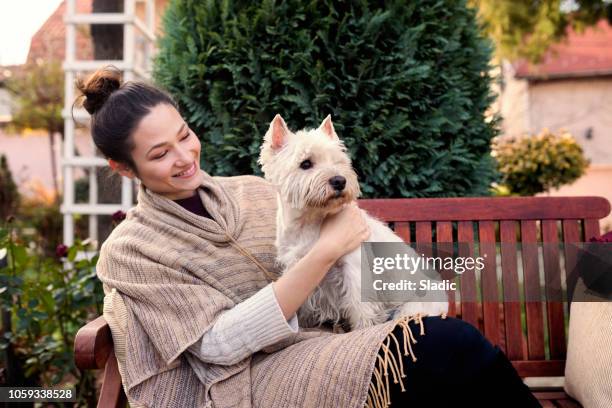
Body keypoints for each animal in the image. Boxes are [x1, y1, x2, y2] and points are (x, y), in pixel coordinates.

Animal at [258, 113, 450, 330]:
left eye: (338, 161)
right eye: (305, 163)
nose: (339, 181)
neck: (309, 222)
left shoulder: (354, 267)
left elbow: (360, 305)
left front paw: (363, 328)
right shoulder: (298, 267)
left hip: (413, 305)